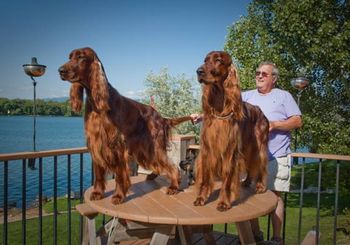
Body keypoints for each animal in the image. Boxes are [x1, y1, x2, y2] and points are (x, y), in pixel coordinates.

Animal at [59, 47, 193, 205]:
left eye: (80, 57)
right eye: (70, 57)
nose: (60, 70)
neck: (97, 102)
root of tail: (160, 117)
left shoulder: (117, 145)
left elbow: (119, 175)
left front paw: (118, 196)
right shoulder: (96, 143)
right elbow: (98, 173)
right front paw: (97, 193)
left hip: (154, 145)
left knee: (171, 166)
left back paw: (173, 186)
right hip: (145, 149)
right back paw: (152, 176)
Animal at [194, 50, 268, 212]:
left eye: (218, 60)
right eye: (205, 60)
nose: (199, 71)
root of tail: (260, 110)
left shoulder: (230, 151)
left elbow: (227, 179)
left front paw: (223, 202)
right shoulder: (207, 150)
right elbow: (205, 177)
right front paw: (201, 198)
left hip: (259, 146)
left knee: (261, 164)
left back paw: (260, 185)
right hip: (246, 147)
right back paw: (246, 181)